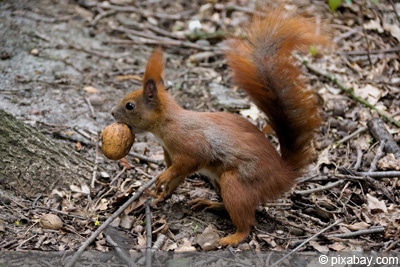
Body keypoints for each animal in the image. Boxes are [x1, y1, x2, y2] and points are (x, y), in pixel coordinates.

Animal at [111, 8, 328, 247]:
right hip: (219, 182)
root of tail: (284, 175)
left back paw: (232, 237)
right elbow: (177, 178)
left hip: (235, 183)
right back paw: (211, 204)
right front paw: (160, 195)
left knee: (246, 223)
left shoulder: (189, 146)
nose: (112, 113)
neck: (167, 124)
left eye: (130, 105)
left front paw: (163, 178)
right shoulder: (171, 153)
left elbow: (186, 164)